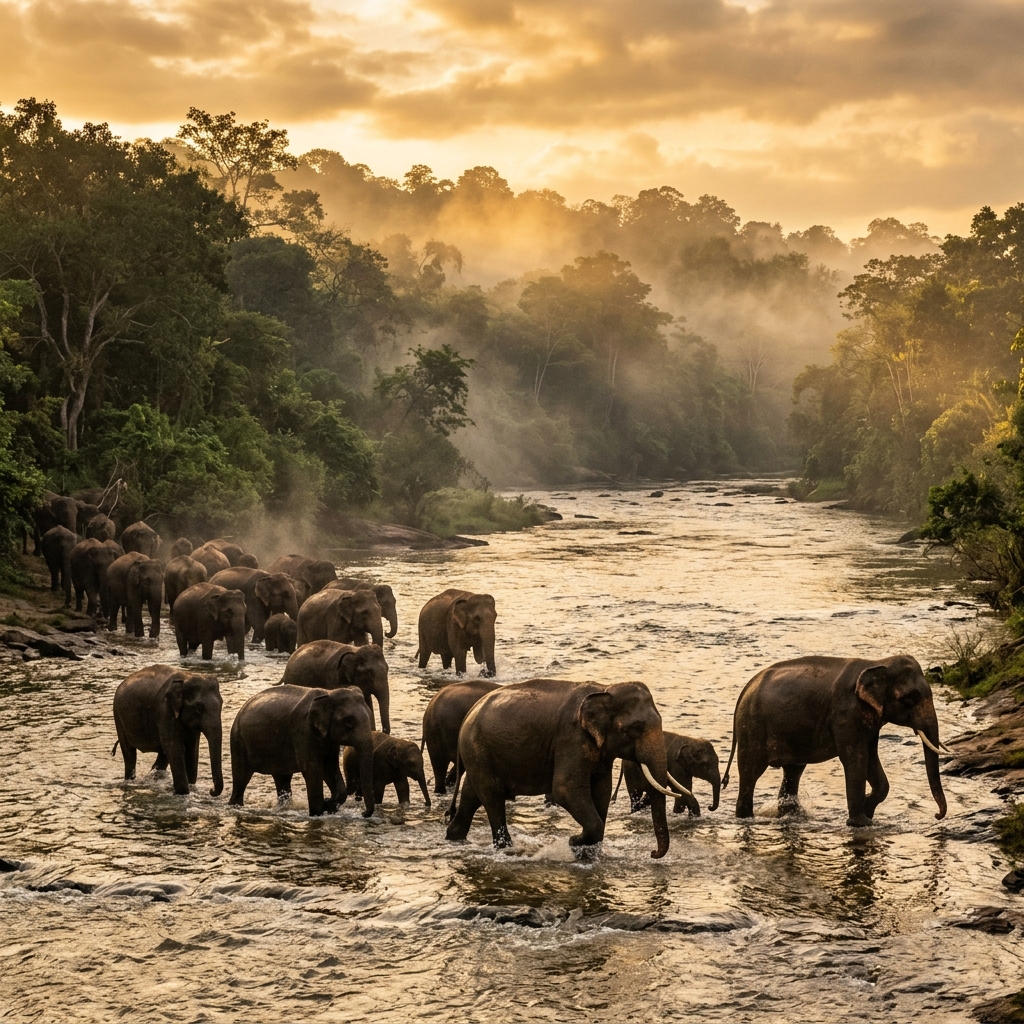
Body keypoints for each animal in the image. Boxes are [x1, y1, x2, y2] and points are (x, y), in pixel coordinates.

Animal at [112, 664, 223, 797]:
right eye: (198, 708)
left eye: (222, 705)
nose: (211, 790)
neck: (187, 677)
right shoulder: (164, 710)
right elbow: (174, 748)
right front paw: (183, 793)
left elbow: (192, 749)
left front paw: (191, 788)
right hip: (118, 716)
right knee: (129, 753)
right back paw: (131, 781)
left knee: (162, 755)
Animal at [229, 684, 376, 816]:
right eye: (349, 722)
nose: (363, 813)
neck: (328, 693)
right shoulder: (303, 730)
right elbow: (313, 768)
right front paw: (318, 813)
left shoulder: (328, 738)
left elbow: (330, 767)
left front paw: (328, 805)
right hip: (238, 740)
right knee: (241, 778)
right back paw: (235, 806)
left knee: (282, 779)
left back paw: (283, 808)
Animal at [446, 679, 681, 858]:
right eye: (635, 728)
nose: (652, 853)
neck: (605, 688)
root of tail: (469, 714)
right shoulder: (571, 738)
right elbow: (565, 789)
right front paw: (573, 842)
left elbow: (602, 791)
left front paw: (588, 854)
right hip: (478, 750)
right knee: (492, 798)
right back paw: (507, 850)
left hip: (478, 757)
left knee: (471, 795)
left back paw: (454, 838)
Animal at [721, 655, 949, 827]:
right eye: (908, 700)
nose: (937, 815)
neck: (877, 662)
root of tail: (746, 688)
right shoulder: (846, 713)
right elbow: (855, 759)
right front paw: (860, 822)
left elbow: (871, 759)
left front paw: (868, 811)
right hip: (751, 728)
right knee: (750, 772)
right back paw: (745, 817)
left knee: (793, 771)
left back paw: (792, 815)